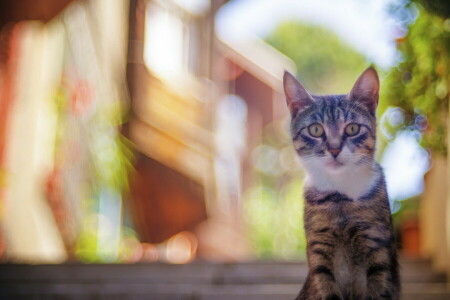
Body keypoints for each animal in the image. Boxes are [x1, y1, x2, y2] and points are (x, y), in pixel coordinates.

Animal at [284, 68, 400, 300]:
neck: (340, 197)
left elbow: (379, 287)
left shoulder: (376, 244)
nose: (335, 149)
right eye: (316, 130)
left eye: (353, 128)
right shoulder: (319, 249)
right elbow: (326, 285)